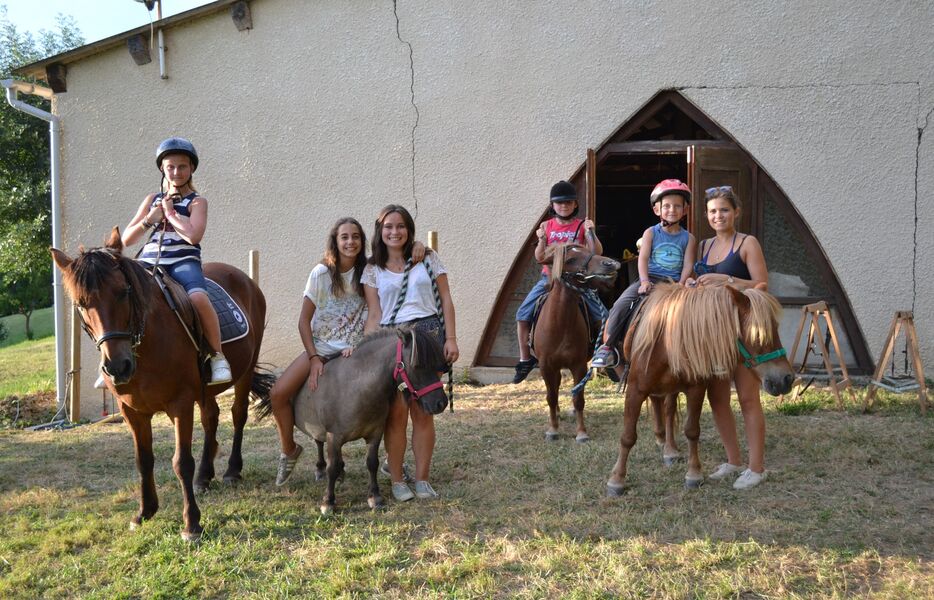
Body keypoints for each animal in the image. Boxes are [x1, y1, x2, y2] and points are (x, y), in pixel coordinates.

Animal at [51, 228, 273, 541]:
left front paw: (192, 524)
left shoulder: (180, 403)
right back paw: (204, 476)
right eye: (81, 304)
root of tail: (245, 279)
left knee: (238, 415)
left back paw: (231, 470)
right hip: (205, 389)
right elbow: (143, 460)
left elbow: (181, 462)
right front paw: (145, 512)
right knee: (211, 417)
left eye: (124, 291)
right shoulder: (132, 411)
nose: (117, 367)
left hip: (245, 371)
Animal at [255, 328, 448, 515]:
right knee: (319, 444)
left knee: (320, 442)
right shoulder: (334, 436)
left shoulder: (375, 433)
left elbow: (372, 463)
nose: (441, 403)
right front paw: (328, 502)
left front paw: (375, 497)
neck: (355, 388)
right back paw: (315, 469)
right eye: (418, 366)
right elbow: (332, 468)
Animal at [532, 243, 620, 442]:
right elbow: (551, 397)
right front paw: (553, 430)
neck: (559, 325)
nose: (611, 263)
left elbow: (578, 399)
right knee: (555, 389)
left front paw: (581, 432)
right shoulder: (546, 366)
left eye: (589, 251)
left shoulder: (578, 365)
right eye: (571, 259)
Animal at [606, 283, 794, 494]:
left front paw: (694, 474)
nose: (787, 378)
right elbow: (628, 436)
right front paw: (617, 479)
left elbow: (692, 431)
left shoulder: (696, 389)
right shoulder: (635, 390)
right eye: (759, 335)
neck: (667, 340)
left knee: (668, 410)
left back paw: (669, 449)